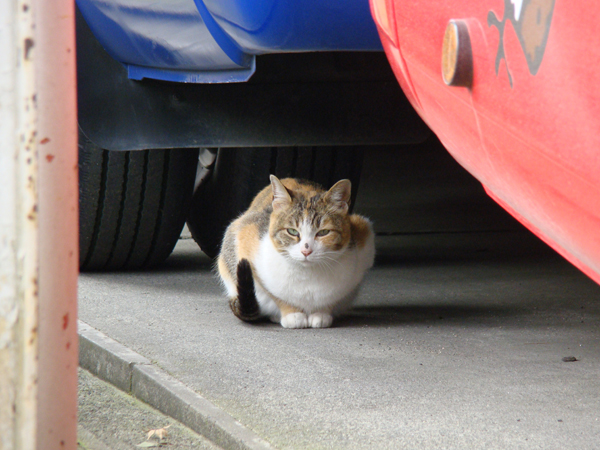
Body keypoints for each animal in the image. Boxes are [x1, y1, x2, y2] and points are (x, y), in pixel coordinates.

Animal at [217, 175, 375, 329]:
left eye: (323, 232)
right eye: (292, 231)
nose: (306, 250)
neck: (307, 275)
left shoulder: (363, 237)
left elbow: (334, 297)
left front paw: (321, 313)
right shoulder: (244, 237)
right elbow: (274, 293)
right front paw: (292, 314)